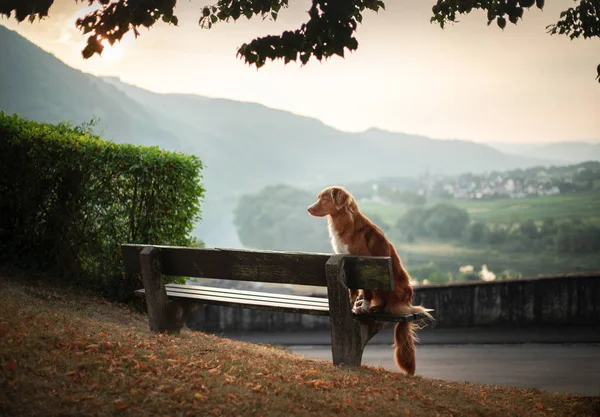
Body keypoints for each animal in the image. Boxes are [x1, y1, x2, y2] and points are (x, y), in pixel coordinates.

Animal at [310, 185, 432, 374]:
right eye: (319, 198)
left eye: (324, 199)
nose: (308, 209)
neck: (343, 220)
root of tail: (406, 302)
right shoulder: (346, 263)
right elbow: (353, 290)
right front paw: (352, 304)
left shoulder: (363, 264)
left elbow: (365, 290)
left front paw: (363, 307)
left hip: (392, 287)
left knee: (387, 305)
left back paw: (374, 308)